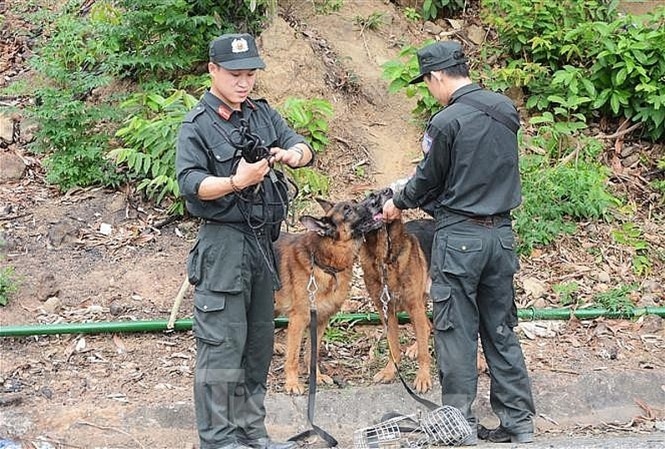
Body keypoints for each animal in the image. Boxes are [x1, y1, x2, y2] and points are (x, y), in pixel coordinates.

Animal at [272, 198, 364, 394]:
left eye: (354, 202)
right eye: (347, 210)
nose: (375, 199)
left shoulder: (320, 321)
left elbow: (310, 354)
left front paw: (317, 377)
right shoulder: (298, 321)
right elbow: (293, 357)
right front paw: (292, 383)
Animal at [356, 187, 434, 390]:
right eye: (371, 196)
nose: (389, 190)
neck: (385, 259)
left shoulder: (414, 306)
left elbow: (425, 352)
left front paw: (423, 377)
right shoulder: (386, 312)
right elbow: (393, 346)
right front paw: (390, 371)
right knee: (427, 325)